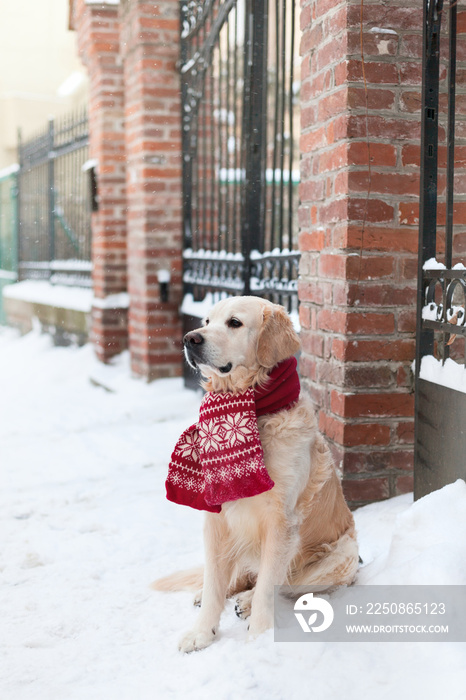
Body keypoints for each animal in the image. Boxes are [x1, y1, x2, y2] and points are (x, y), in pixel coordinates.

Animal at [155, 296, 358, 652]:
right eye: (206, 321)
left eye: (234, 323)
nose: (190, 338)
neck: (255, 409)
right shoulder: (217, 518)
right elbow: (215, 582)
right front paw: (202, 632)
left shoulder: (281, 522)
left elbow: (267, 585)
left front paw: (260, 638)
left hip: (343, 553)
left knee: (283, 584)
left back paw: (247, 602)